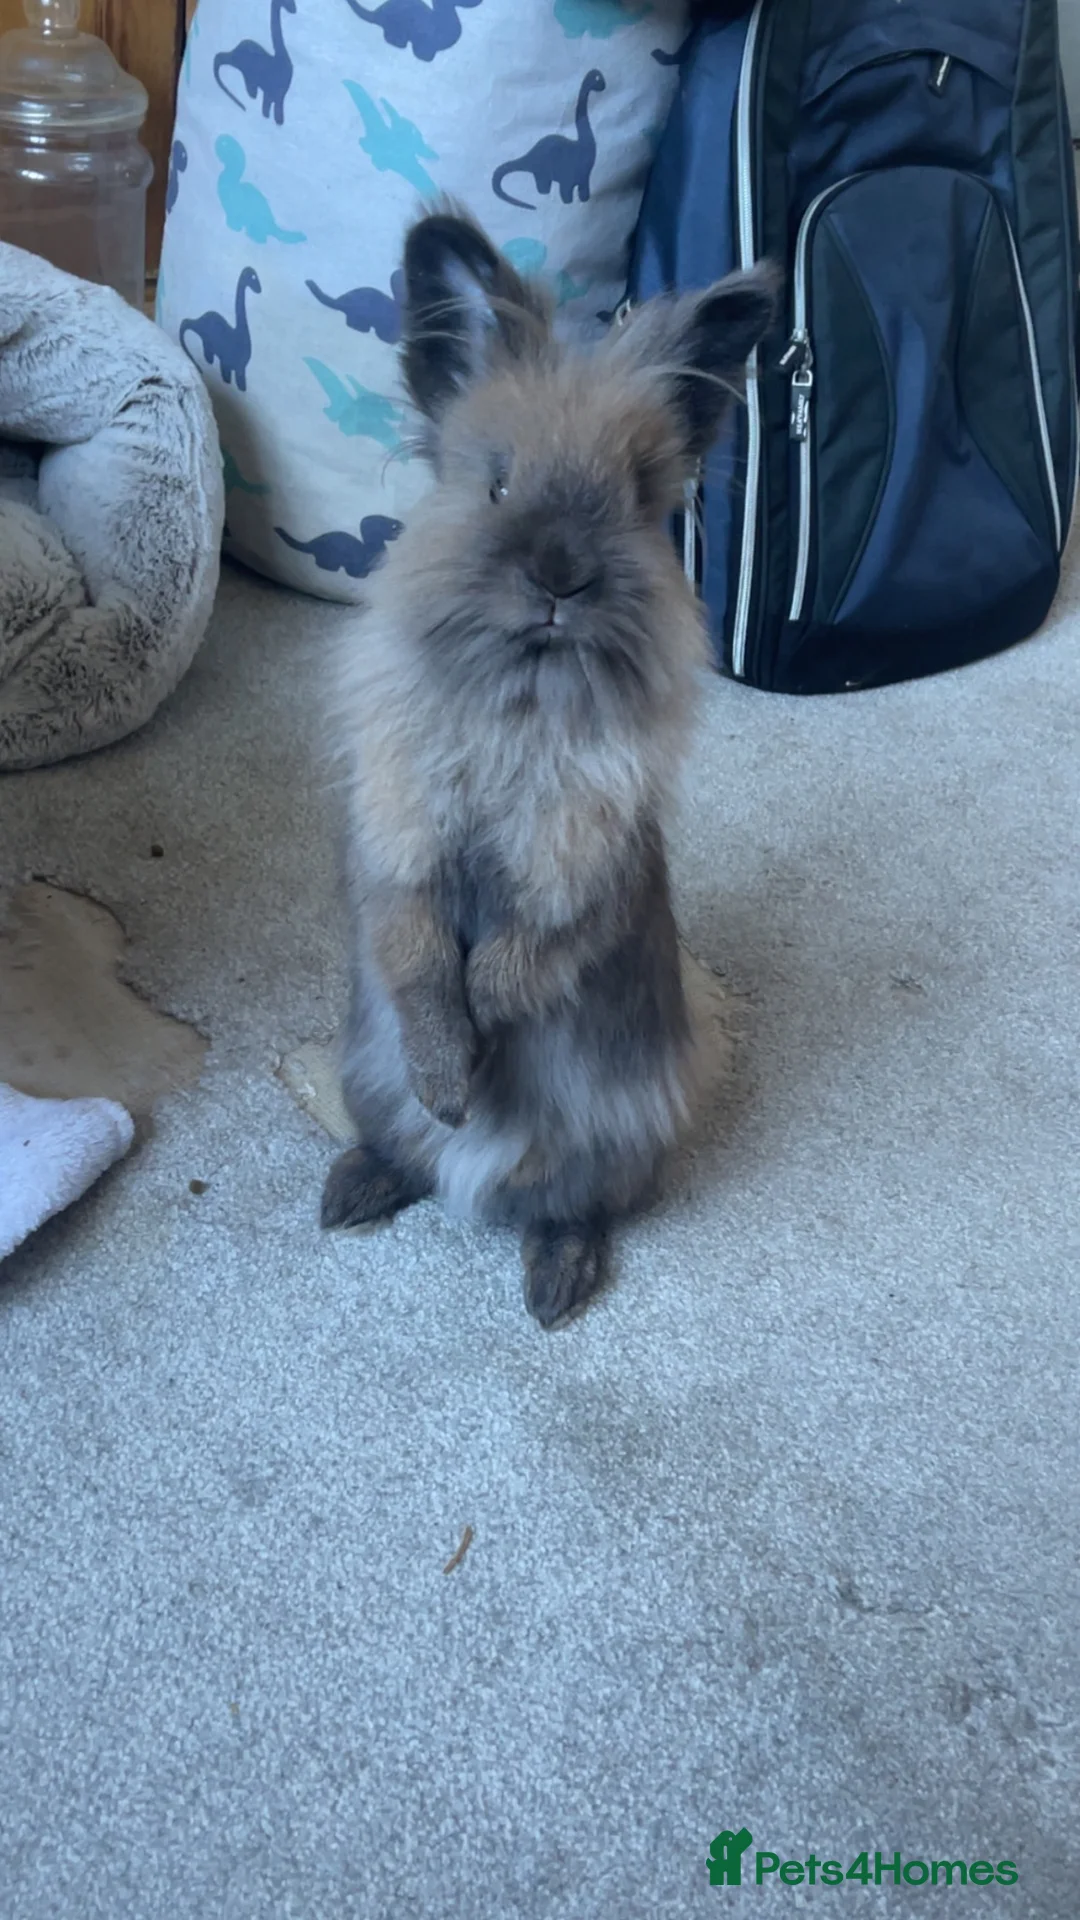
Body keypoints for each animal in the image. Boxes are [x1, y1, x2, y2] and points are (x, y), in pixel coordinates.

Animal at [320, 205, 778, 1327]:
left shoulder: (579, 875)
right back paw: (357, 1189)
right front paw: (452, 1086)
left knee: (577, 1207)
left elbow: (510, 968)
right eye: (497, 483)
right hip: (366, 1080)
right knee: (409, 1152)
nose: (560, 576)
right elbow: (420, 960)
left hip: (610, 1140)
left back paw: (552, 1287)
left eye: (636, 499)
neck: (521, 702)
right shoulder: (395, 849)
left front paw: (477, 1064)